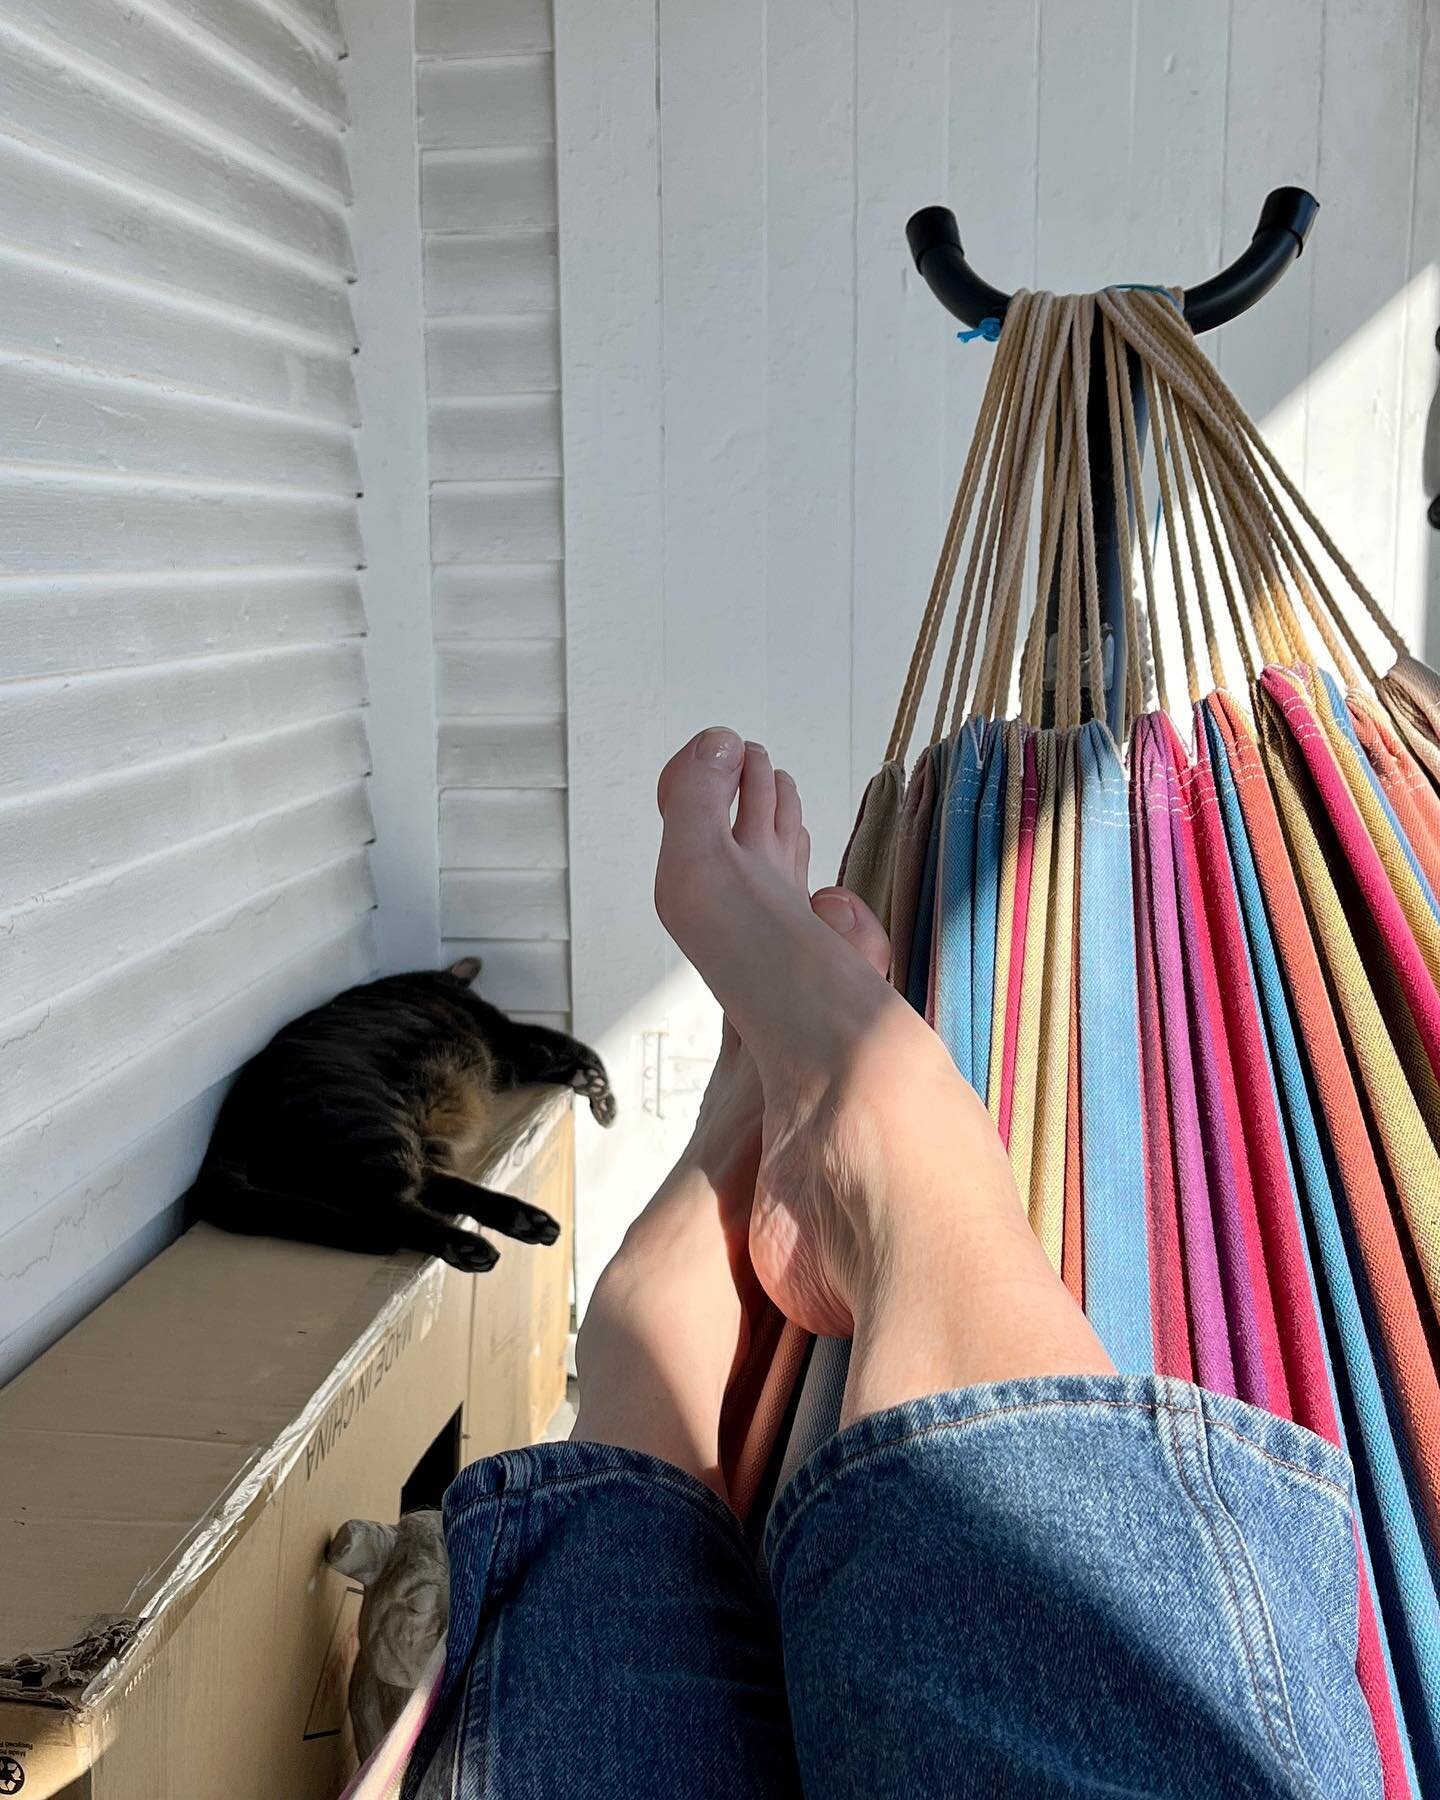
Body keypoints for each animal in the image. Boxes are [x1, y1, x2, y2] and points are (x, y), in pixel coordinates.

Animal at [185, 964, 612, 1274]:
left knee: (430, 1190)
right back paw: (470, 1246)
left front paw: (591, 1089)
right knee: (389, 1212)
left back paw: (527, 1220)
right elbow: (568, 1044)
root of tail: (224, 1131)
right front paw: (599, 1094)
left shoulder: (508, 1059)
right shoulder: (506, 1035)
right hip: (374, 1126)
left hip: (397, 1143)